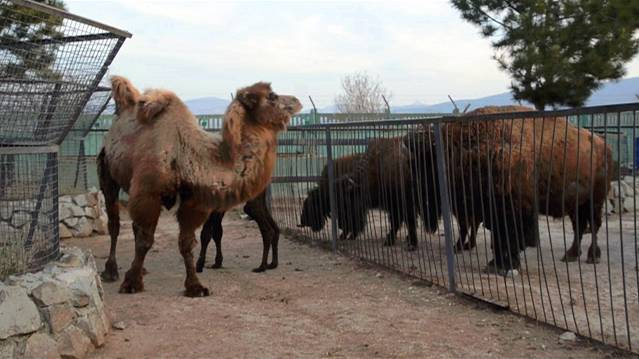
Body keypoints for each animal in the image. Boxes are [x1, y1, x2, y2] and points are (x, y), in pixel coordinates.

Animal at [99, 76, 302, 298]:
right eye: (272, 96)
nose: (297, 101)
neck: (185, 153)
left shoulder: (193, 201)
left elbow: (187, 243)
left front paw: (195, 286)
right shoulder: (148, 193)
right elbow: (145, 240)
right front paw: (131, 283)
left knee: (134, 226)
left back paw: (141, 268)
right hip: (107, 171)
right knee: (115, 223)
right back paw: (110, 271)